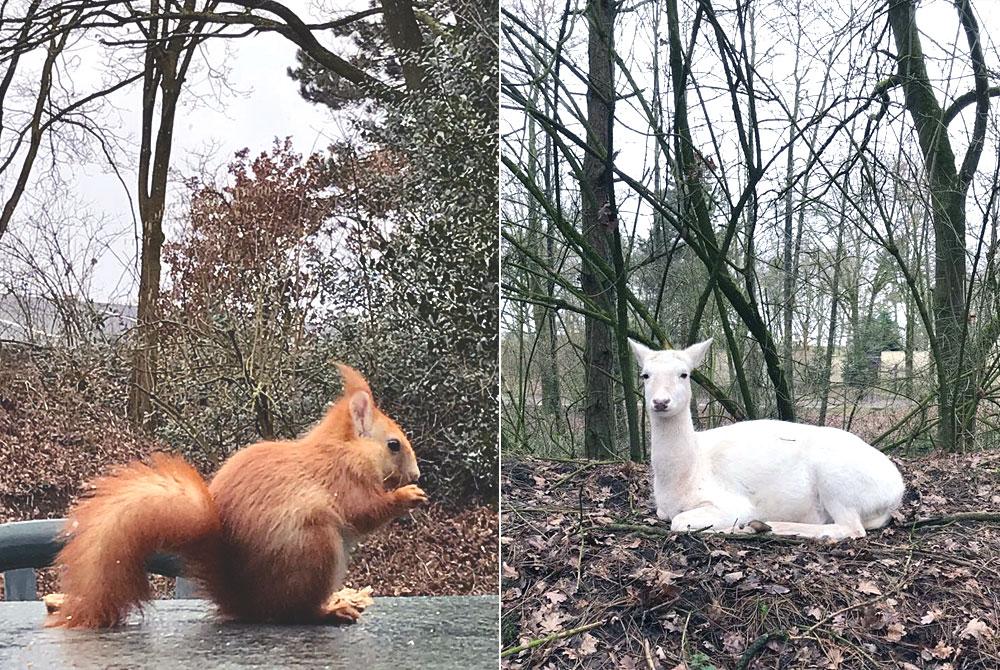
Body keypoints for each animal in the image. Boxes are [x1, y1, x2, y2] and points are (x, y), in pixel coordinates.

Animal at [47, 362, 426, 632]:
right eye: (393, 445)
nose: (417, 476)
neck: (346, 450)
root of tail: (244, 600)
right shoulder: (342, 481)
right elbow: (365, 512)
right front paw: (408, 495)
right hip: (313, 548)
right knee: (294, 613)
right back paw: (332, 611)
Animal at [632, 338, 908, 544]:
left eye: (684, 374)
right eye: (645, 375)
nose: (660, 402)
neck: (685, 476)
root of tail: (897, 490)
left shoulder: (733, 504)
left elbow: (679, 522)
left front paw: (739, 526)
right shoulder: (663, 508)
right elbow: (667, 516)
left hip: (838, 482)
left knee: (851, 528)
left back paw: (766, 526)